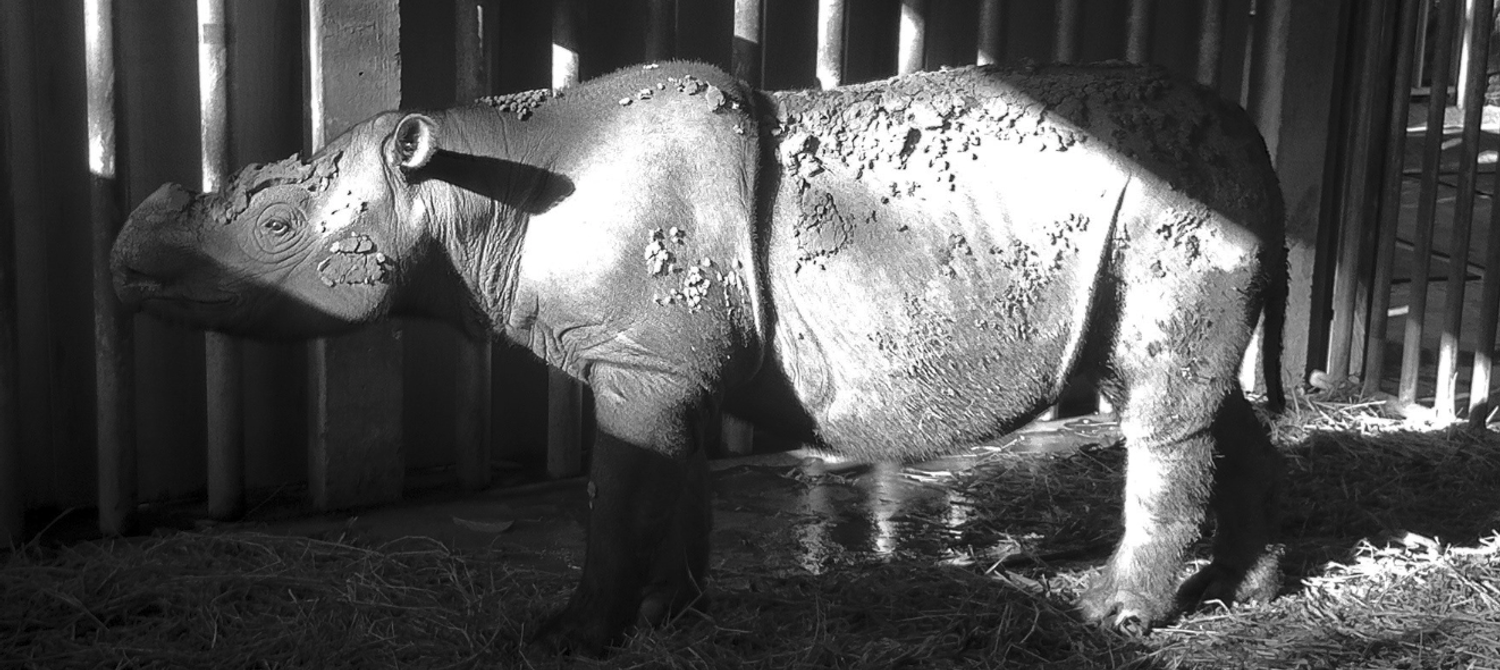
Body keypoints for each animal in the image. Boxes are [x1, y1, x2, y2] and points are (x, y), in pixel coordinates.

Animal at [112, 61, 1286, 653]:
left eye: (275, 232)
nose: (123, 268)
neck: (466, 190)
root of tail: (1254, 135)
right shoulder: (659, 361)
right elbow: (667, 483)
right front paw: (670, 617)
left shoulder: (644, 362)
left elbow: (619, 491)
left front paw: (568, 638)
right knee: (1200, 393)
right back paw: (1246, 586)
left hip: (1172, 200)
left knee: (1163, 402)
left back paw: (1115, 613)